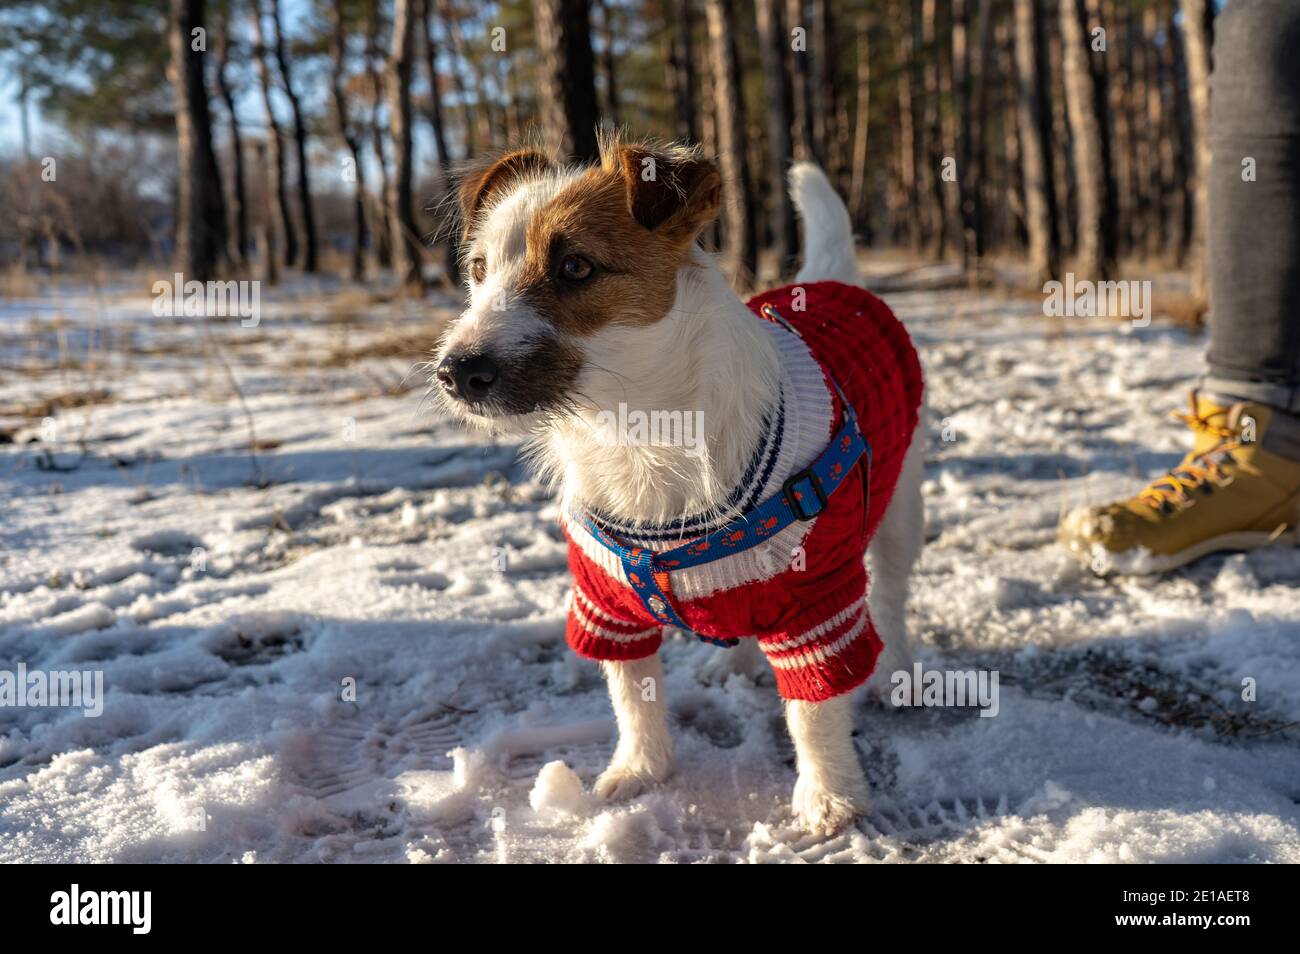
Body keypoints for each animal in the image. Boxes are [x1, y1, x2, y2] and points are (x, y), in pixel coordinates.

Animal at [436, 134, 925, 837]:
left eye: (575, 267)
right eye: (477, 270)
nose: (455, 371)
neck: (639, 432)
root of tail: (834, 282)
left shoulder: (817, 601)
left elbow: (812, 710)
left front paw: (828, 797)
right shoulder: (607, 603)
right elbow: (632, 695)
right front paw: (639, 771)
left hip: (899, 507)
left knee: (891, 592)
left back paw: (896, 671)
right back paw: (734, 660)